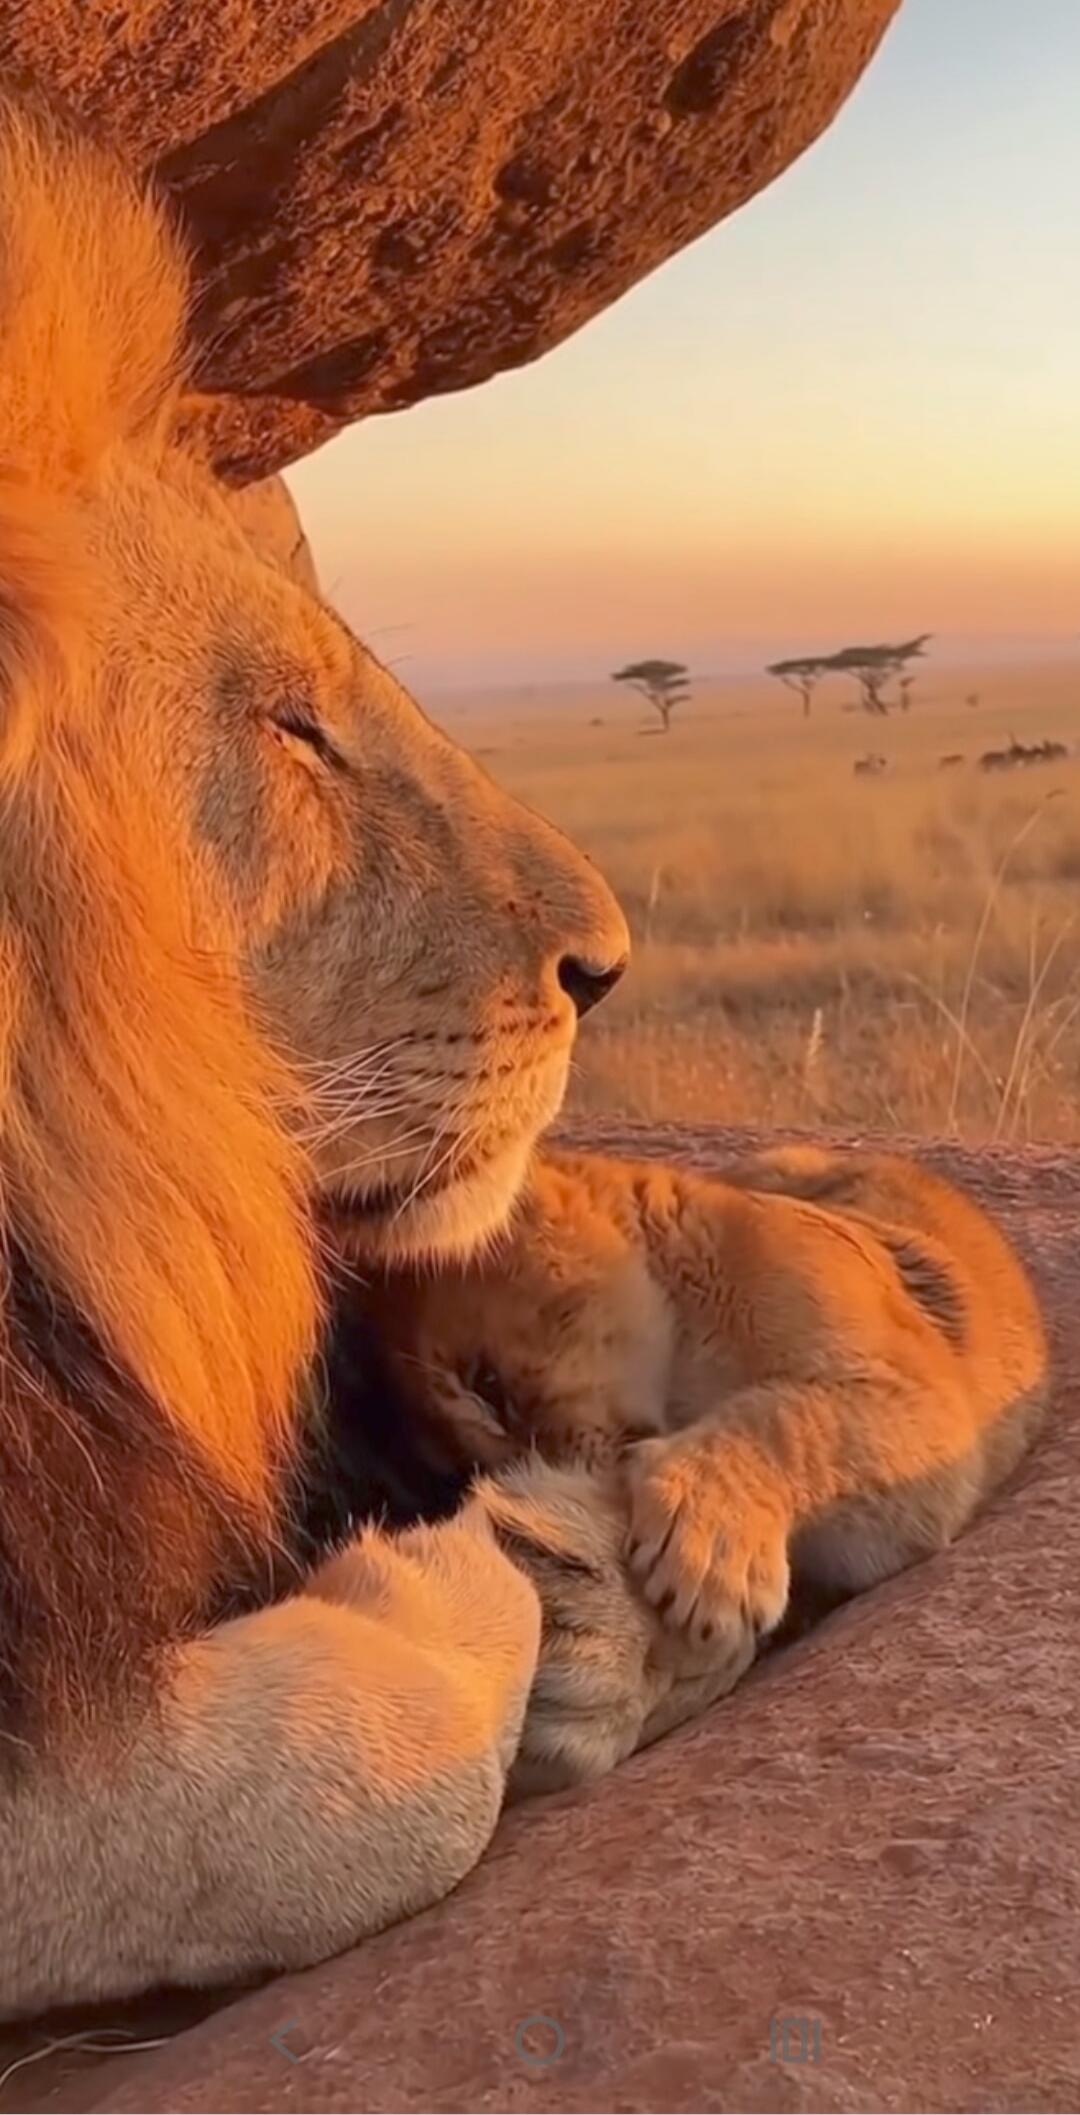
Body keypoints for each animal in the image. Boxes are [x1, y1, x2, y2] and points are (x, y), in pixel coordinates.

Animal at [364, 1143, 1048, 1662]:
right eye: (469, 1465)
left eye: (488, 1384)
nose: (545, 1473)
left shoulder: (920, 1398)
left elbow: (791, 1420)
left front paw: (708, 1554)